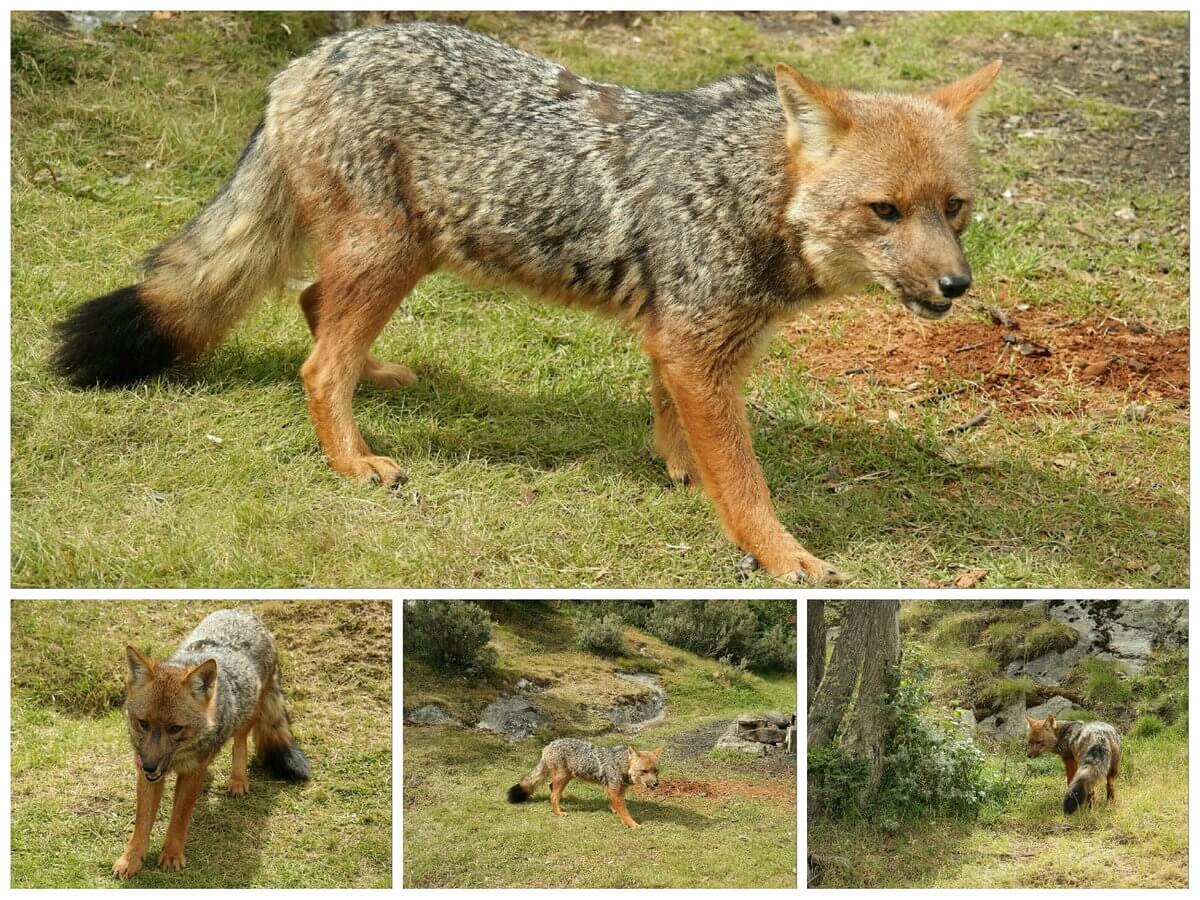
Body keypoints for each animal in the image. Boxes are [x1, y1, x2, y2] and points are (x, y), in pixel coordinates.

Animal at [51, 22, 998, 585]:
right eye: (885, 211)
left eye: (954, 208)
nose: (958, 286)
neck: (753, 187)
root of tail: (310, 57)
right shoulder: (698, 343)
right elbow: (748, 480)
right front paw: (779, 553)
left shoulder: (680, 337)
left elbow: (676, 420)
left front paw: (679, 468)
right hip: (391, 255)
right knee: (316, 366)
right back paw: (354, 460)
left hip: (399, 257)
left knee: (317, 309)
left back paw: (379, 375)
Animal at [112, 614, 309, 883]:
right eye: (143, 724)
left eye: (175, 728)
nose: (150, 766)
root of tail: (244, 613)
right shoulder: (147, 774)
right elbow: (141, 823)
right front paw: (131, 859)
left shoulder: (191, 772)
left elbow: (180, 817)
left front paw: (172, 854)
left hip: (246, 715)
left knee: (240, 741)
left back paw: (238, 779)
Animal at [501, 739, 662, 830]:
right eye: (644, 771)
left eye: (656, 771)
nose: (656, 784)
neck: (621, 764)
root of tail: (549, 745)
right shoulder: (614, 790)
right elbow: (625, 812)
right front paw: (632, 824)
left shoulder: (615, 789)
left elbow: (615, 804)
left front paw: (615, 811)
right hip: (563, 777)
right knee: (553, 796)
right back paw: (558, 812)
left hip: (565, 778)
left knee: (551, 787)